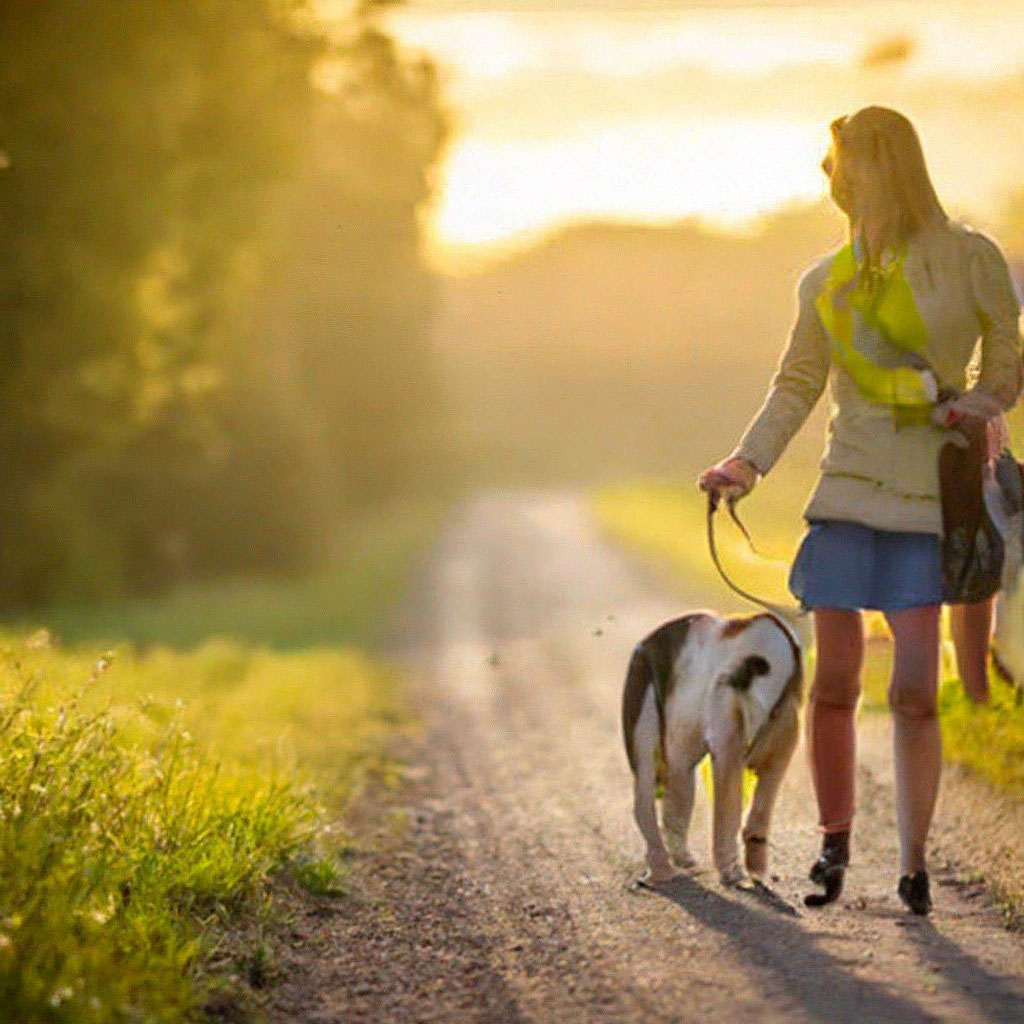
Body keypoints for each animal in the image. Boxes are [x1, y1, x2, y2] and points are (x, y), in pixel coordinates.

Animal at [618, 606, 802, 888]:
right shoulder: (728, 701)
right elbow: (729, 787)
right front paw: (734, 873)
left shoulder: (783, 716)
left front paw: (756, 872)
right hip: (642, 682)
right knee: (647, 780)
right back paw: (663, 872)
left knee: (680, 782)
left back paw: (683, 860)